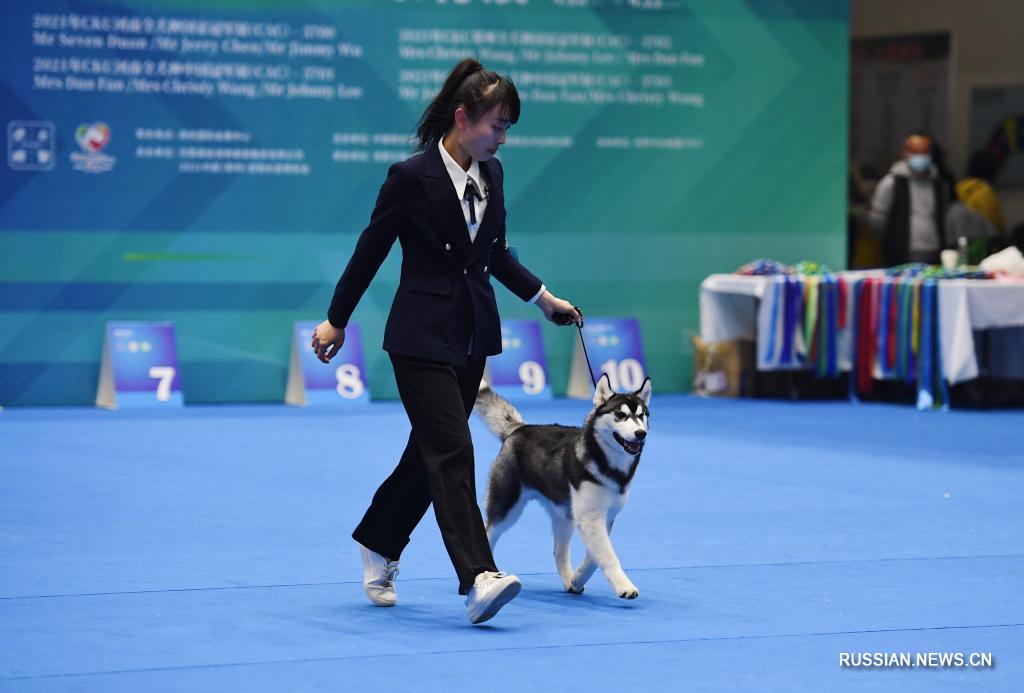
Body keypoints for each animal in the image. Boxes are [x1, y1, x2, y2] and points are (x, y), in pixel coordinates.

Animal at [475, 372, 651, 593]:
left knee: (559, 551)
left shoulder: (604, 517)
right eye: (620, 414)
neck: (608, 464)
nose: (641, 434)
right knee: (489, 532)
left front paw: (578, 577)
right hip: (507, 505)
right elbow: (608, 556)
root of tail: (520, 428)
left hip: (564, 513)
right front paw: (624, 586)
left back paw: (569, 580)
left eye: (642, 415)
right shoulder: (591, 517)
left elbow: (595, 557)